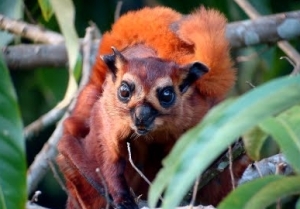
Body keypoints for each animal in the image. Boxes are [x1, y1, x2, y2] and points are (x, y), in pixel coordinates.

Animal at [56, 5, 248, 208]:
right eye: (124, 91)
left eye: (166, 95)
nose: (142, 115)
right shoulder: (110, 117)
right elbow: (108, 155)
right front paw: (121, 197)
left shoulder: (197, 113)